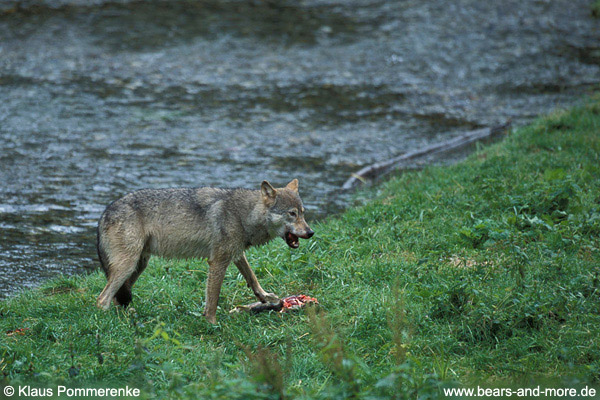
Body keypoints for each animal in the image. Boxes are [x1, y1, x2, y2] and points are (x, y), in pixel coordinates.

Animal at [95, 180, 314, 324]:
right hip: (128, 265)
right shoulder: (217, 261)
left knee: (117, 297)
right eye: (292, 214)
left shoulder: (235, 254)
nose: (311, 232)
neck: (243, 215)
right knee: (102, 300)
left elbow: (252, 278)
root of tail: (105, 212)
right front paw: (211, 324)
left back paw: (126, 316)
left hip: (139, 265)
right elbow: (213, 299)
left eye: (303, 213)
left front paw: (266, 297)